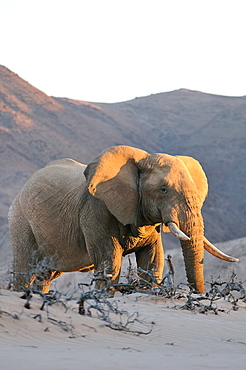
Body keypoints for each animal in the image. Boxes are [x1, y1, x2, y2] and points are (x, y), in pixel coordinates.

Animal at [8, 146, 237, 294]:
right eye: (163, 190)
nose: (198, 294)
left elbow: (153, 260)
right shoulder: (97, 209)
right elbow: (110, 261)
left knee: (45, 275)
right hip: (20, 220)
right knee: (25, 270)